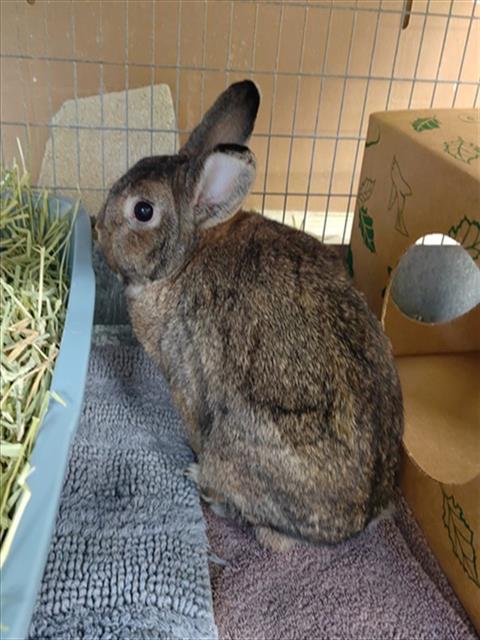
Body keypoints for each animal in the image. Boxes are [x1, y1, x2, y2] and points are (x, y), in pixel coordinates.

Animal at [96, 80, 404, 552]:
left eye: (142, 211)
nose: (96, 226)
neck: (185, 255)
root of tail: (358, 521)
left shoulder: (184, 380)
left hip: (237, 444)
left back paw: (202, 481)